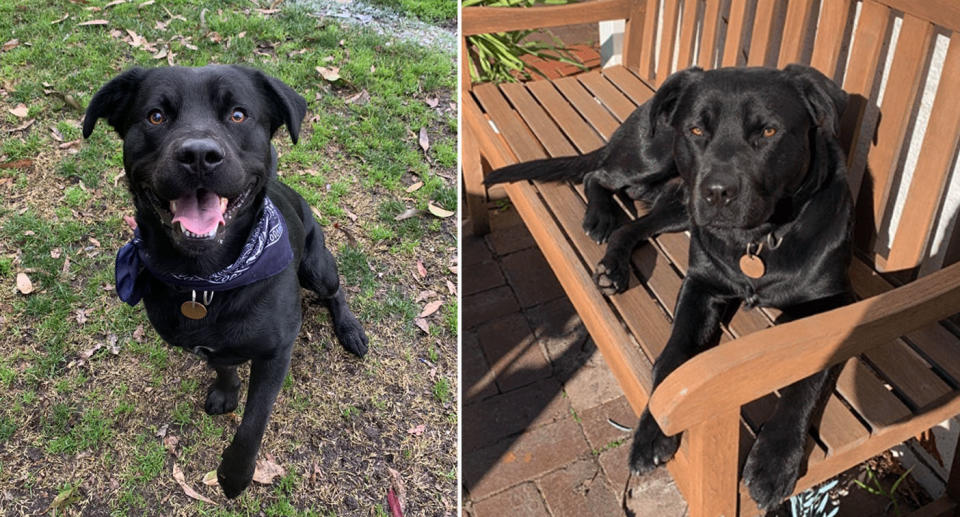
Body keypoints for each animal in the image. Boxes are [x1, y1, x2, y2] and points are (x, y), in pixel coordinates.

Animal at [83, 64, 368, 496]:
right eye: (156, 116)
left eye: (237, 114)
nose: (199, 156)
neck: (207, 279)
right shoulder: (202, 345)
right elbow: (222, 366)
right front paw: (226, 391)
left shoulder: (276, 354)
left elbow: (253, 422)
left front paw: (235, 474)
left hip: (318, 267)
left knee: (336, 292)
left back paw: (350, 328)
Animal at [492, 63, 852, 508]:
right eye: (696, 129)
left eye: (768, 131)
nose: (717, 192)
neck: (759, 240)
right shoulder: (700, 286)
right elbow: (673, 358)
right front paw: (652, 432)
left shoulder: (834, 306)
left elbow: (806, 379)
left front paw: (774, 461)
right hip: (656, 160)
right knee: (598, 176)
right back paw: (600, 220)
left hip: (681, 204)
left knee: (634, 224)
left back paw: (613, 262)